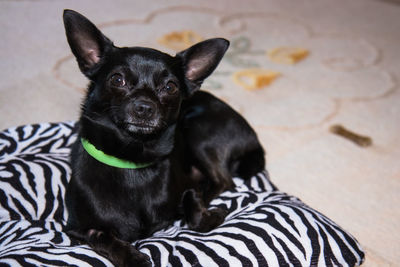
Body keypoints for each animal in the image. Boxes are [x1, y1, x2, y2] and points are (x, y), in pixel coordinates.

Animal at [63, 9, 266, 266]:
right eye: (117, 79)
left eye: (170, 87)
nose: (145, 108)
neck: (132, 161)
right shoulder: (75, 229)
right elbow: (101, 237)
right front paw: (133, 257)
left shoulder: (186, 191)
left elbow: (194, 209)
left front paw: (208, 212)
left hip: (198, 132)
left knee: (223, 180)